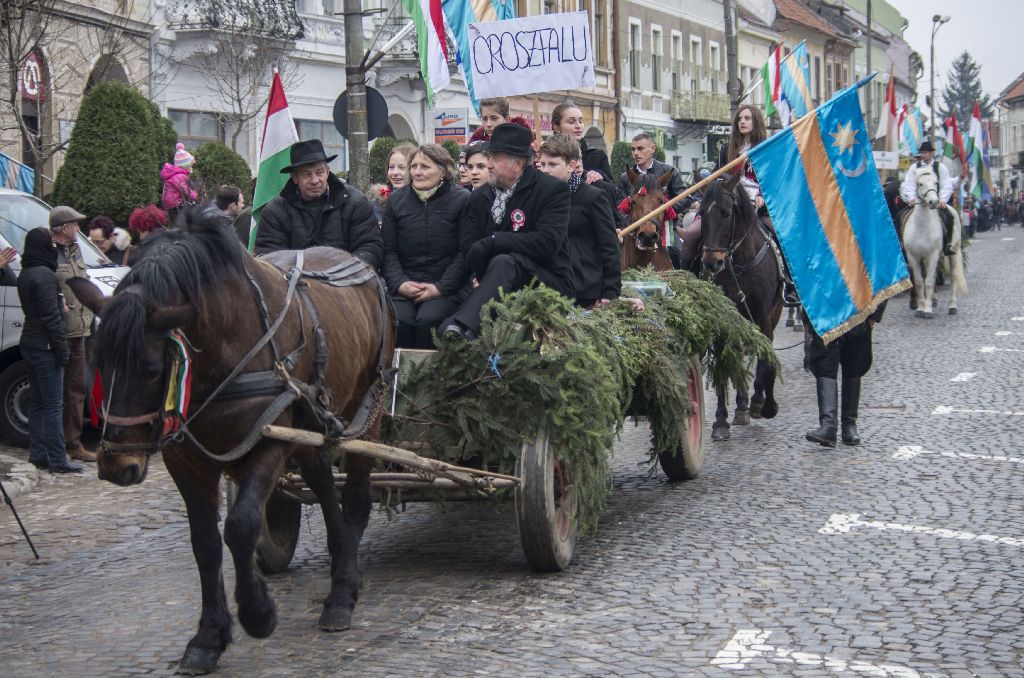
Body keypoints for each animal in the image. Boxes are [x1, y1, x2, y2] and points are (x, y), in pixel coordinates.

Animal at [905, 166, 966, 321]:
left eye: (936, 183)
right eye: (920, 184)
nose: (934, 202)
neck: (921, 227)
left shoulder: (932, 255)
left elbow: (928, 282)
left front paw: (928, 310)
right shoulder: (914, 257)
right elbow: (919, 282)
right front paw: (920, 308)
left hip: (953, 252)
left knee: (953, 277)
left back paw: (952, 306)